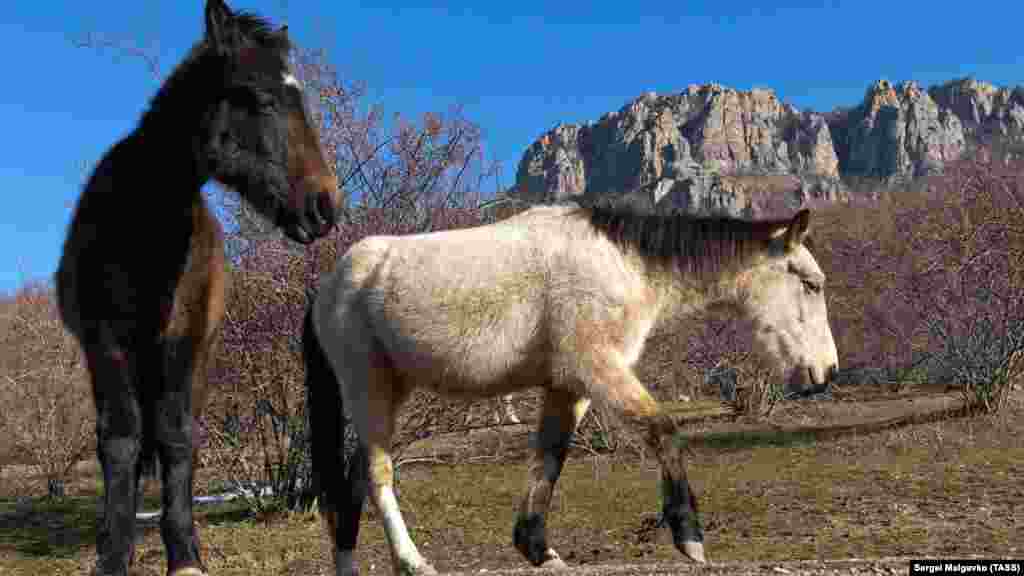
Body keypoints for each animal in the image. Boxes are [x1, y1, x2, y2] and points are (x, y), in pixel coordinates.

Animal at [56, 2, 337, 569]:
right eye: (261, 97)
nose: (325, 206)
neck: (141, 223)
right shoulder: (106, 344)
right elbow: (120, 442)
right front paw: (113, 554)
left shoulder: (184, 342)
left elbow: (178, 438)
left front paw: (185, 554)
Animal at [303, 199, 839, 569]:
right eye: (810, 285)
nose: (828, 372)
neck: (624, 264)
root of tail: (330, 284)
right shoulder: (599, 369)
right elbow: (663, 431)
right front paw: (689, 536)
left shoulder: (568, 386)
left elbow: (550, 459)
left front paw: (536, 547)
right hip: (368, 388)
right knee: (378, 475)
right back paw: (413, 562)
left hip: (390, 391)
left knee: (355, 477)